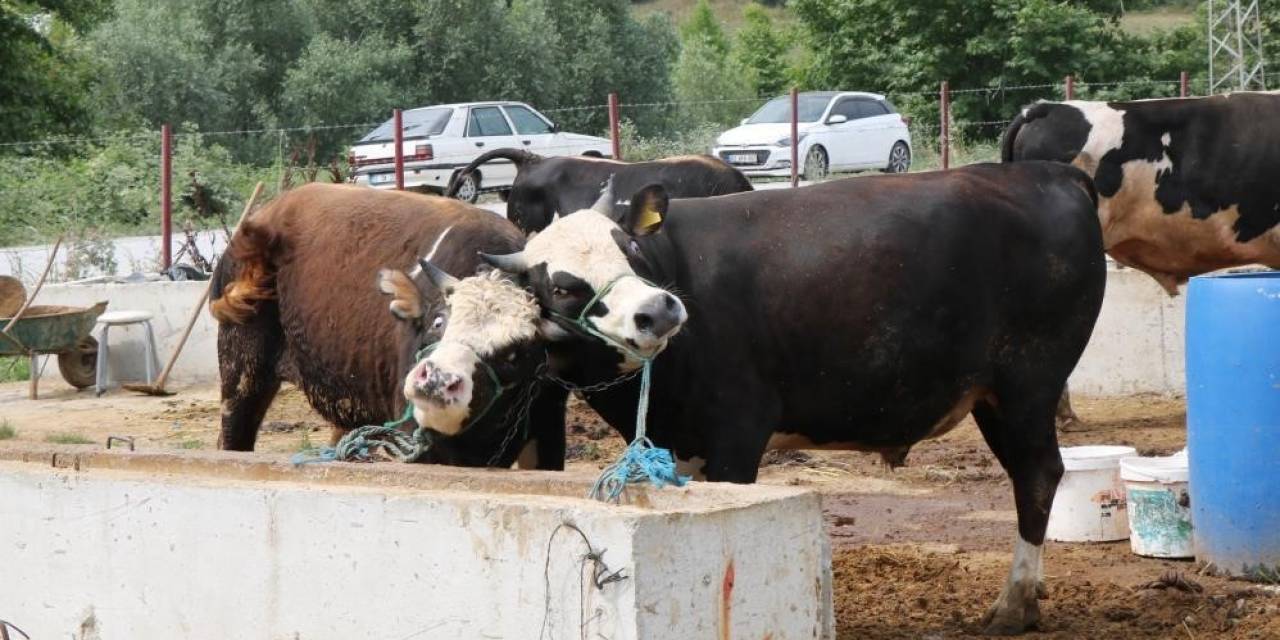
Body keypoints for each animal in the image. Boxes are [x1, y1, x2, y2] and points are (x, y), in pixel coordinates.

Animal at [471, 162, 1111, 632]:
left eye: (628, 249)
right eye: (561, 285)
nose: (658, 310)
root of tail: (1049, 173)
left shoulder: (737, 433)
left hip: (1026, 386)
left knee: (1037, 477)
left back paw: (1015, 603)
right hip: (996, 397)